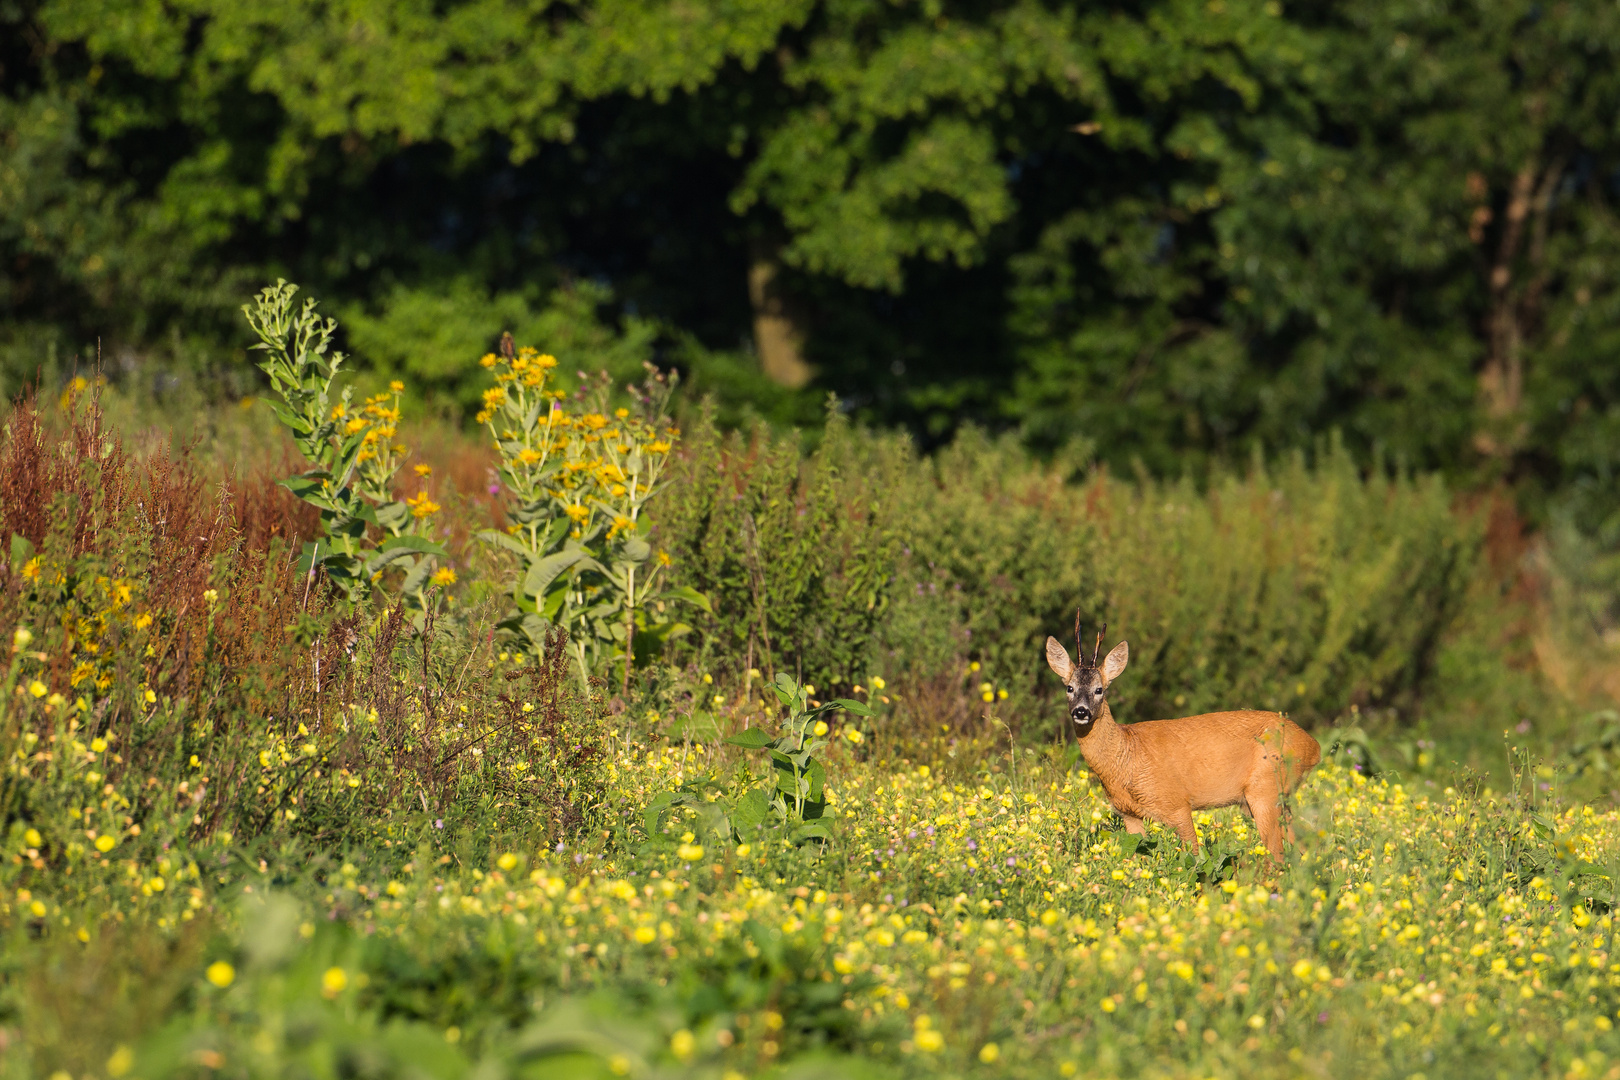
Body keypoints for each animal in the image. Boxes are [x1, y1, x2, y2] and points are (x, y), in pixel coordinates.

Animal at [1049, 615, 1315, 861]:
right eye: (1069, 688)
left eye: (1099, 690)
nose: (1081, 711)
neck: (1126, 755)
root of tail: (1313, 746)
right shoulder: (1129, 814)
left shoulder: (1177, 803)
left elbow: (1194, 858)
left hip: (1265, 789)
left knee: (1277, 856)